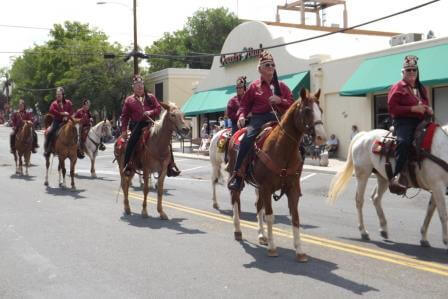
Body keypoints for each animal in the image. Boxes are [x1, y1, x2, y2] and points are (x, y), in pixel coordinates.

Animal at [228, 89, 326, 262]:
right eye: (307, 110)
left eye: (320, 110)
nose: (321, 137)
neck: (282, 149)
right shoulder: (267, 188)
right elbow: (270, 216)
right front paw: (273, 248)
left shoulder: (292, 189)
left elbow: (295, 217)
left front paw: (299, 250)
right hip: (239, 180)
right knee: (235, 200)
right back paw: (238, 230)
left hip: (259, 187)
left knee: (257, 205)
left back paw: (262, 235)